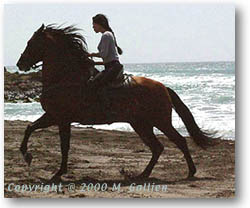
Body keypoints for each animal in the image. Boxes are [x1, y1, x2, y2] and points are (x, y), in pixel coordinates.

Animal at [16, 24, 218, 180]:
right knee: (157, 147)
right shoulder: (53, 116)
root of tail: (163, 87)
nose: (20, 64)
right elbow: (30, 128)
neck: (66, 77)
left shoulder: (62, 119)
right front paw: (27, 155)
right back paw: (142, 175)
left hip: (160, 121)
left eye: (30, 43)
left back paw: (191, 172)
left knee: (179, 141)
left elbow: (64, 146)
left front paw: (58, 172)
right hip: (141, 124)